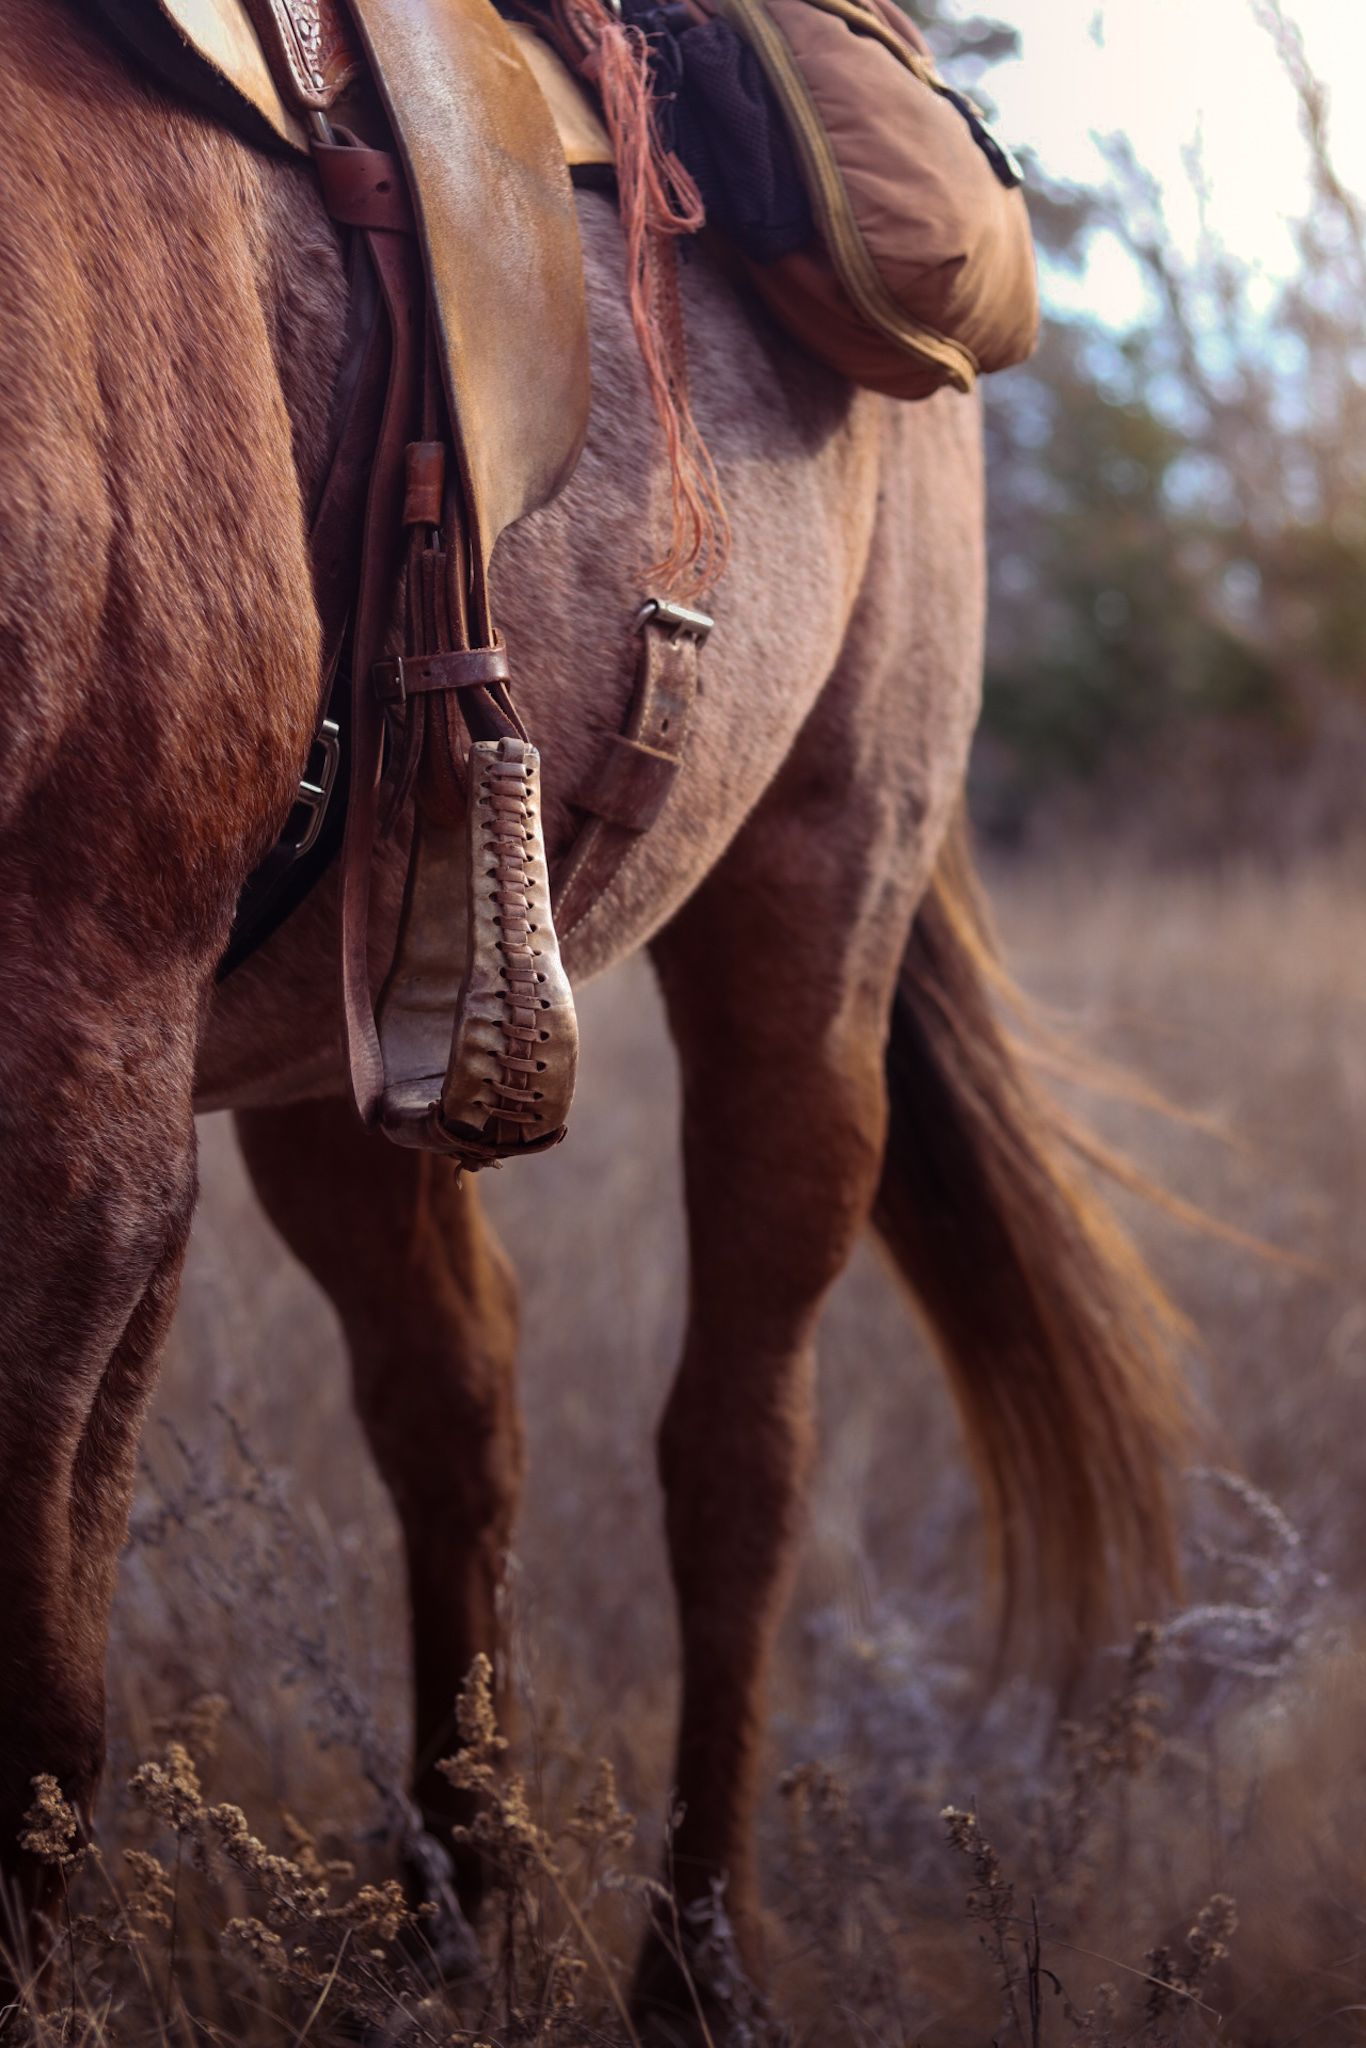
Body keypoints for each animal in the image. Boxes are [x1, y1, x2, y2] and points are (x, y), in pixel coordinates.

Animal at [0, 0, 1185, 2027]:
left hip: (809, 927)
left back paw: (691, 1970)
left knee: (737, 1452)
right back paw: (445, 1921)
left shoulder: (82, 1128)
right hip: (337, 1039)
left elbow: (31, 1733)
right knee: (458, 1399)